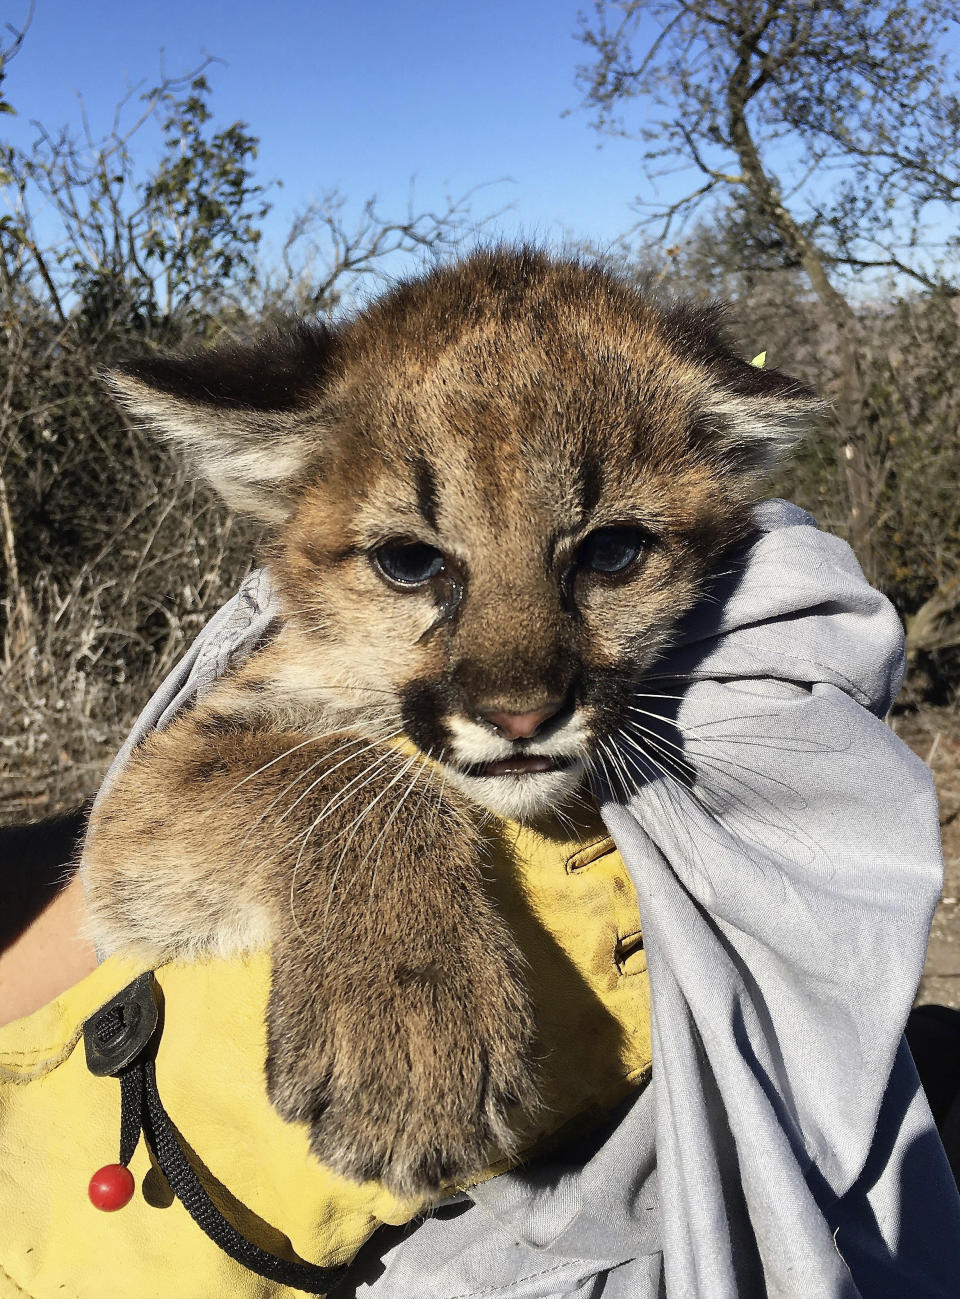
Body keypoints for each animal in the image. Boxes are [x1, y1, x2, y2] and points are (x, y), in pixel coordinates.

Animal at [84, 244, 821, 1195]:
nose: (522, 715)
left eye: (612, 551)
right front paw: (409, 1020)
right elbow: (338, 768)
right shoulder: (145, 791)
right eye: (410, 561)